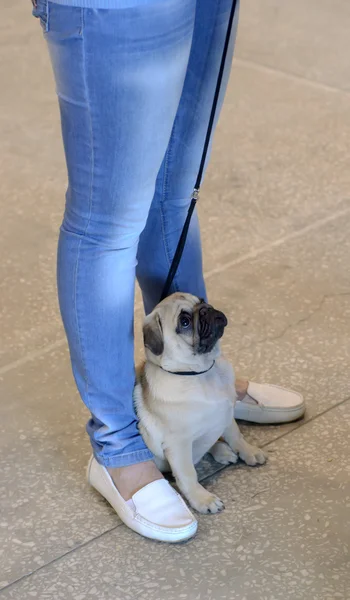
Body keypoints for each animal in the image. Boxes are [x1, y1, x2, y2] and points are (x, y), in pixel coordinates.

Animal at [134, 292, 266, 512]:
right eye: (184, 322)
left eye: (202, 301)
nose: (206, 310)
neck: (201, 373)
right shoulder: (178, 444)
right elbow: (188, 474)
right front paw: (202, 499)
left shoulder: (226, 414)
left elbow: (236, 435)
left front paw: (248, 451)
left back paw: (221, 450)